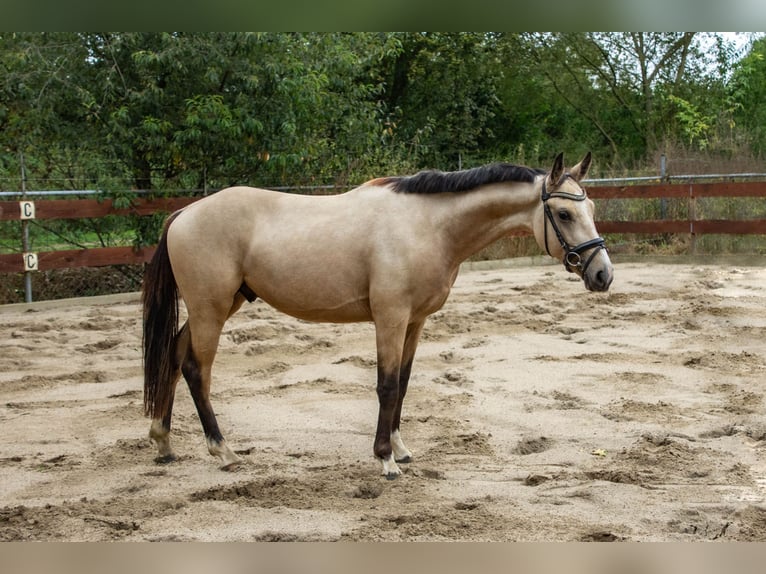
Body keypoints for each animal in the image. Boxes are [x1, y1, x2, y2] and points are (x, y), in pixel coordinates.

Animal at [141, 151, 616, 480]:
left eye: (592, 210)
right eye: (563, 213)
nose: (603, 274)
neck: (427, 225)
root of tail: (184, 213)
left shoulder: (415, 321)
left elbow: (402, 385)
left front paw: (400, 447)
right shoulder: (390, 317)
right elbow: (386, 386)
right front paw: (385, 460)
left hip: (218, 307)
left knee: (172, 355)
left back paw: (163, 442)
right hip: (212, 310)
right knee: (195, 369)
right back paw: (222, 451)